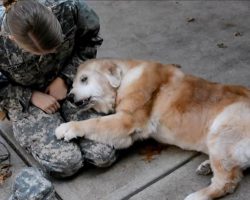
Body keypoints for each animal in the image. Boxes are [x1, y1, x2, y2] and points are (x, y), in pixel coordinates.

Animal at [55, 58, 250, 200]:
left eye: (84, 79)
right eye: (74, 83)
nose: (69, 97)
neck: (125, 77)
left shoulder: (127, 120)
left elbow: (93, 122)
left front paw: (67, 128)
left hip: (222, 128)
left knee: (227, 182)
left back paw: (196, 196)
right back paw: (206, 166)